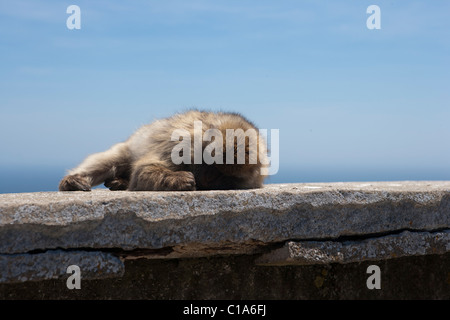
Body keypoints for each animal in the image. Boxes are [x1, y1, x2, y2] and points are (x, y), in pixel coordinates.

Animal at [57, 109, 268, 191]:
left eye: (221, 175)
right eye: (211, 163)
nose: (208, 178)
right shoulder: (180, 143)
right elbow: (144, 170)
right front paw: (180, 179)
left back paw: (121, 182)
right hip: (129, 145)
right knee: (111, 160)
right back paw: (72, 180)